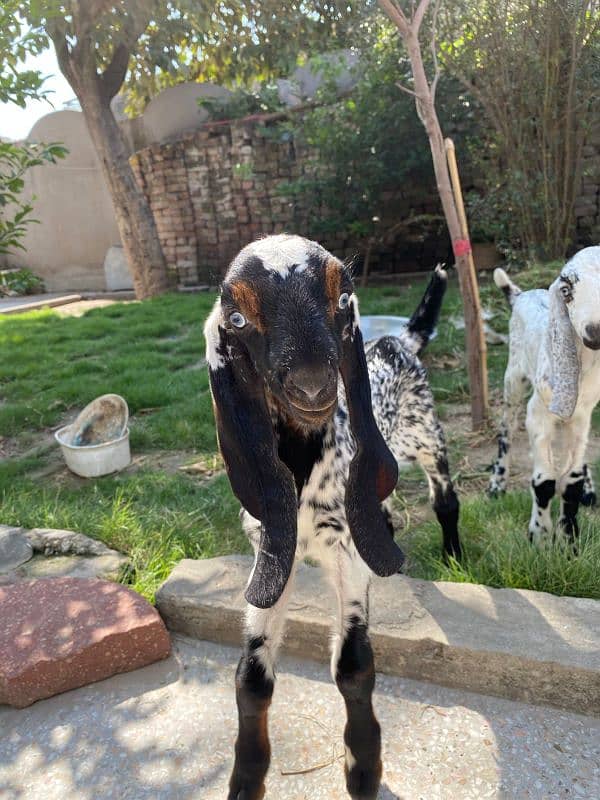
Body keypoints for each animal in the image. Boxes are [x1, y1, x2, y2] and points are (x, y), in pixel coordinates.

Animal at [490, 245, 596, 544]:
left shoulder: (583, 416)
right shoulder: (538, 413)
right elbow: (545, 481)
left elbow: (571, 480)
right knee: (505, 429)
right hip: (513, 378)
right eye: (566, 290)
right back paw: (497, 482)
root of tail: (521, 294)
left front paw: (569, 538)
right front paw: (539, 536)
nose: (594, 331)